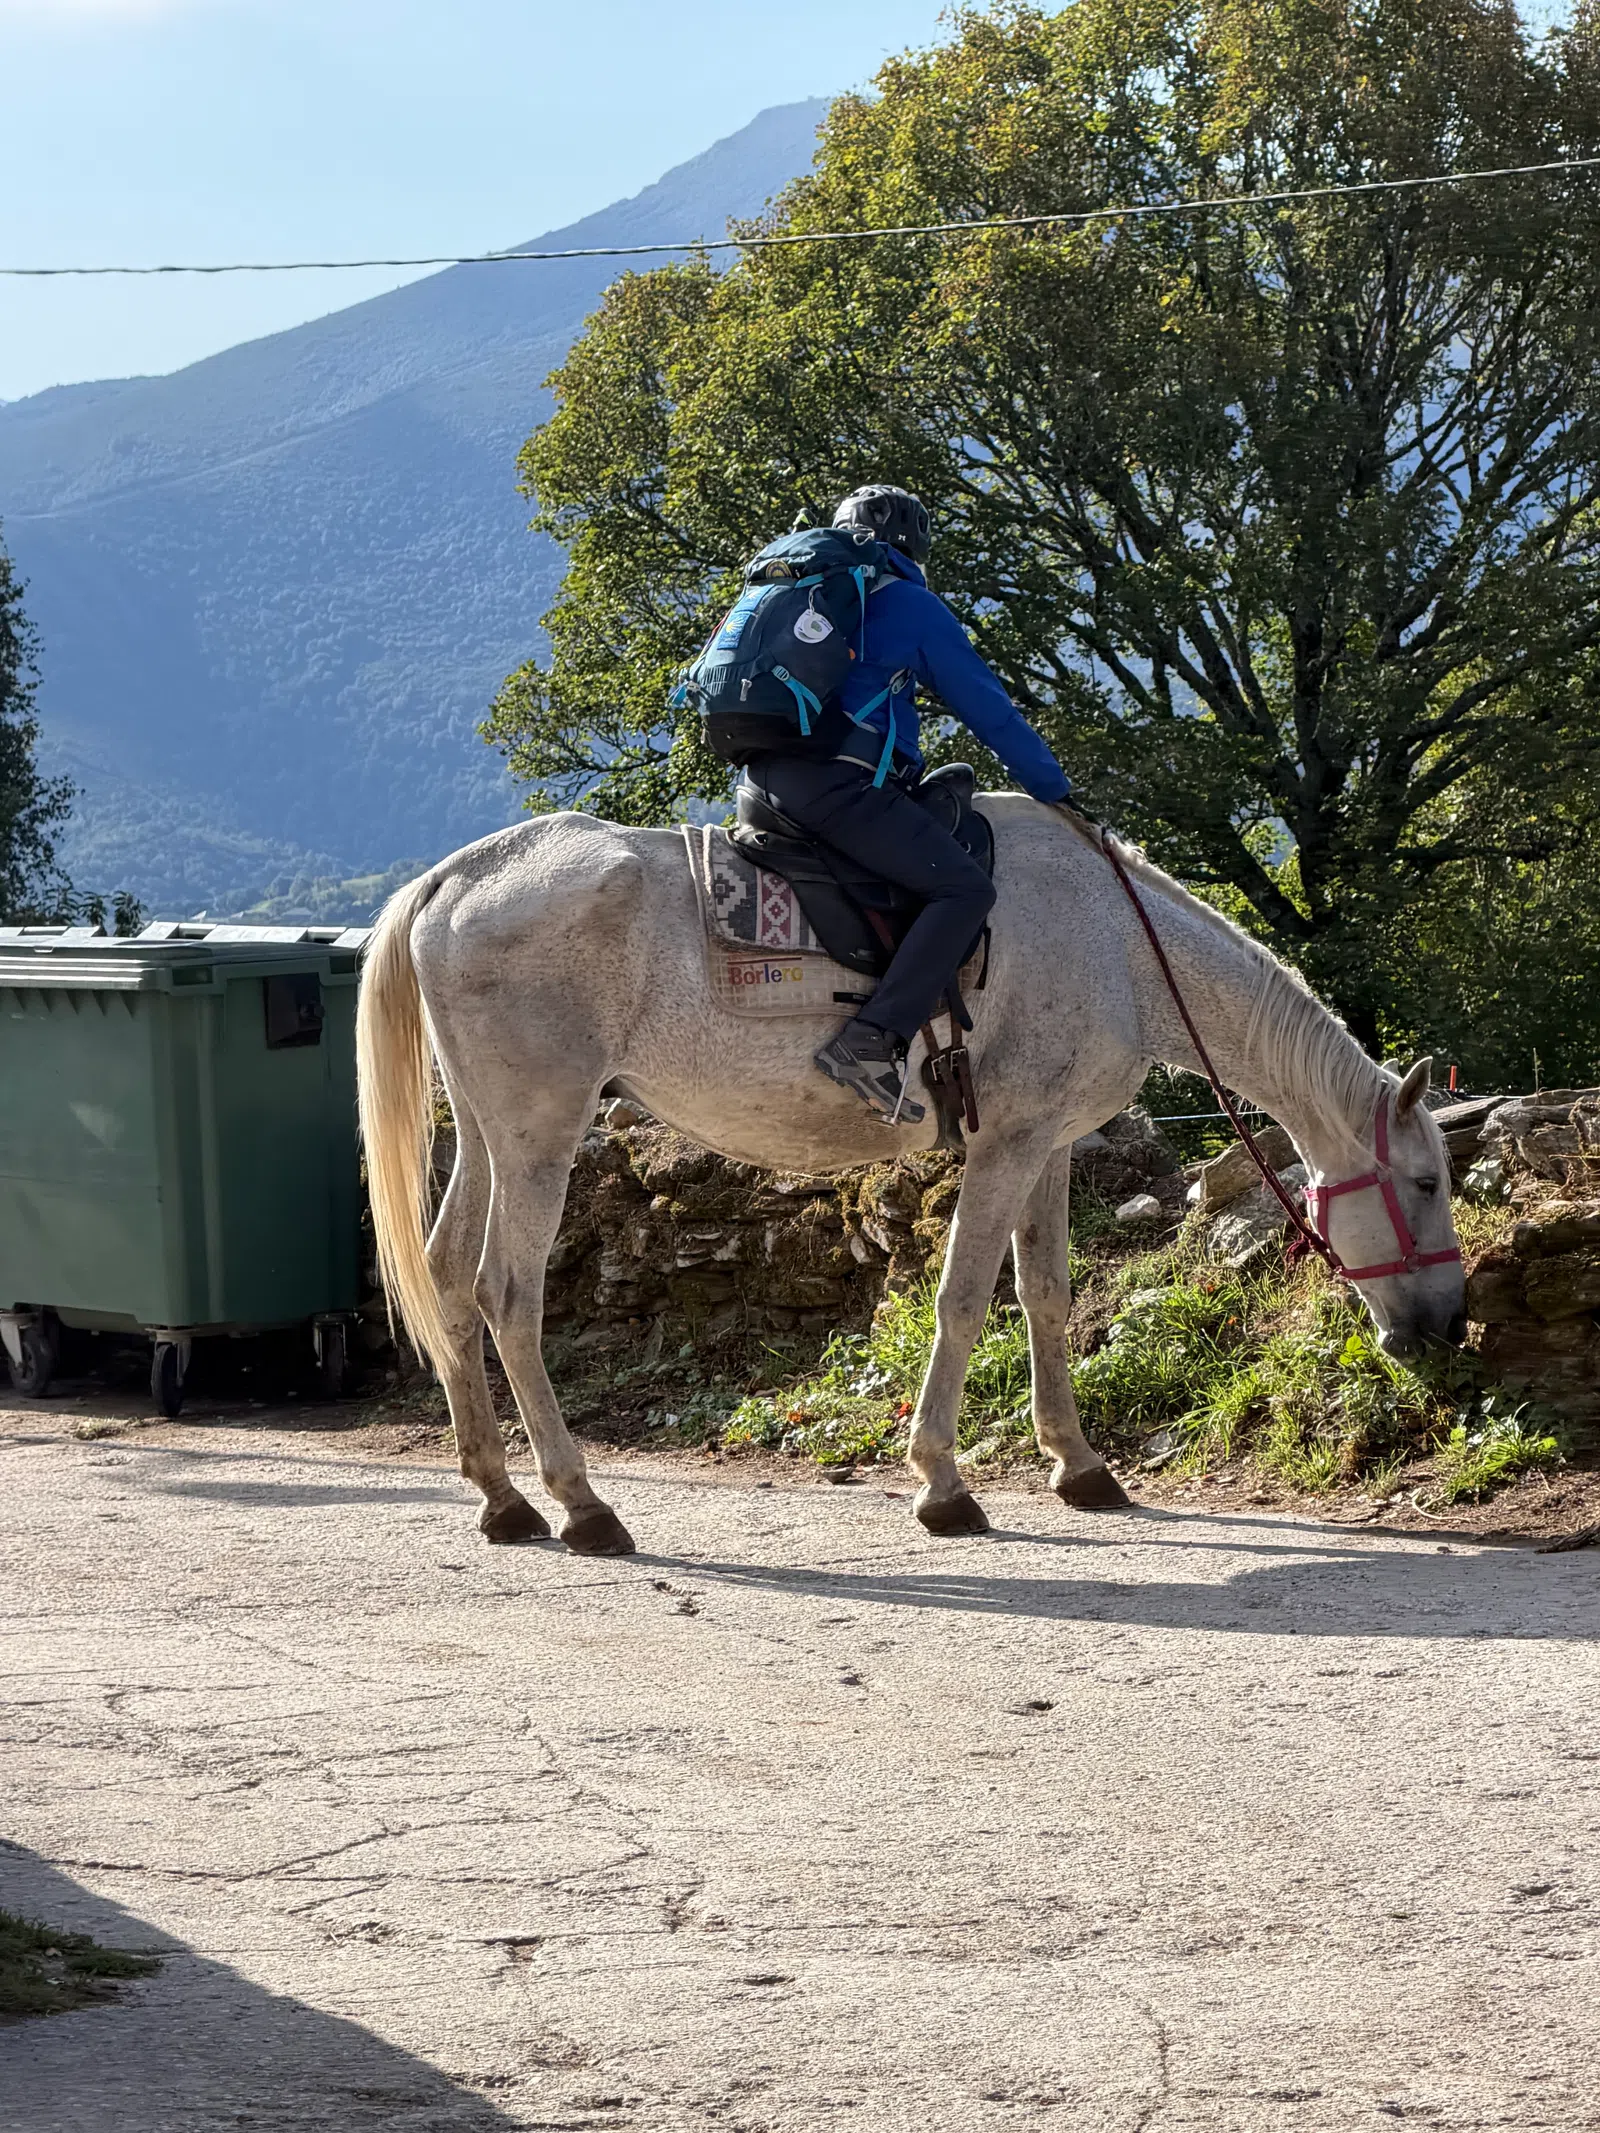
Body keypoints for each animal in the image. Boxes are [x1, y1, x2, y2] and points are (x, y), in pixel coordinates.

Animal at [355, 798, 1465, 1554]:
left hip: (492, 1138)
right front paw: (942, 1481)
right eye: (1424, 1183)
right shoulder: (1005, 1143)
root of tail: (455, 879)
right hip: (539, 1137)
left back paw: (501, 1495)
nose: (1448, 1326)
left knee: (449, 1276)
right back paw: (581, 1502)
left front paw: (1079, 1463)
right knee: (507, 1293)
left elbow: (1046, 1294)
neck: (1116, 944)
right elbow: (966, 1300)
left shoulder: (1046, 1143)